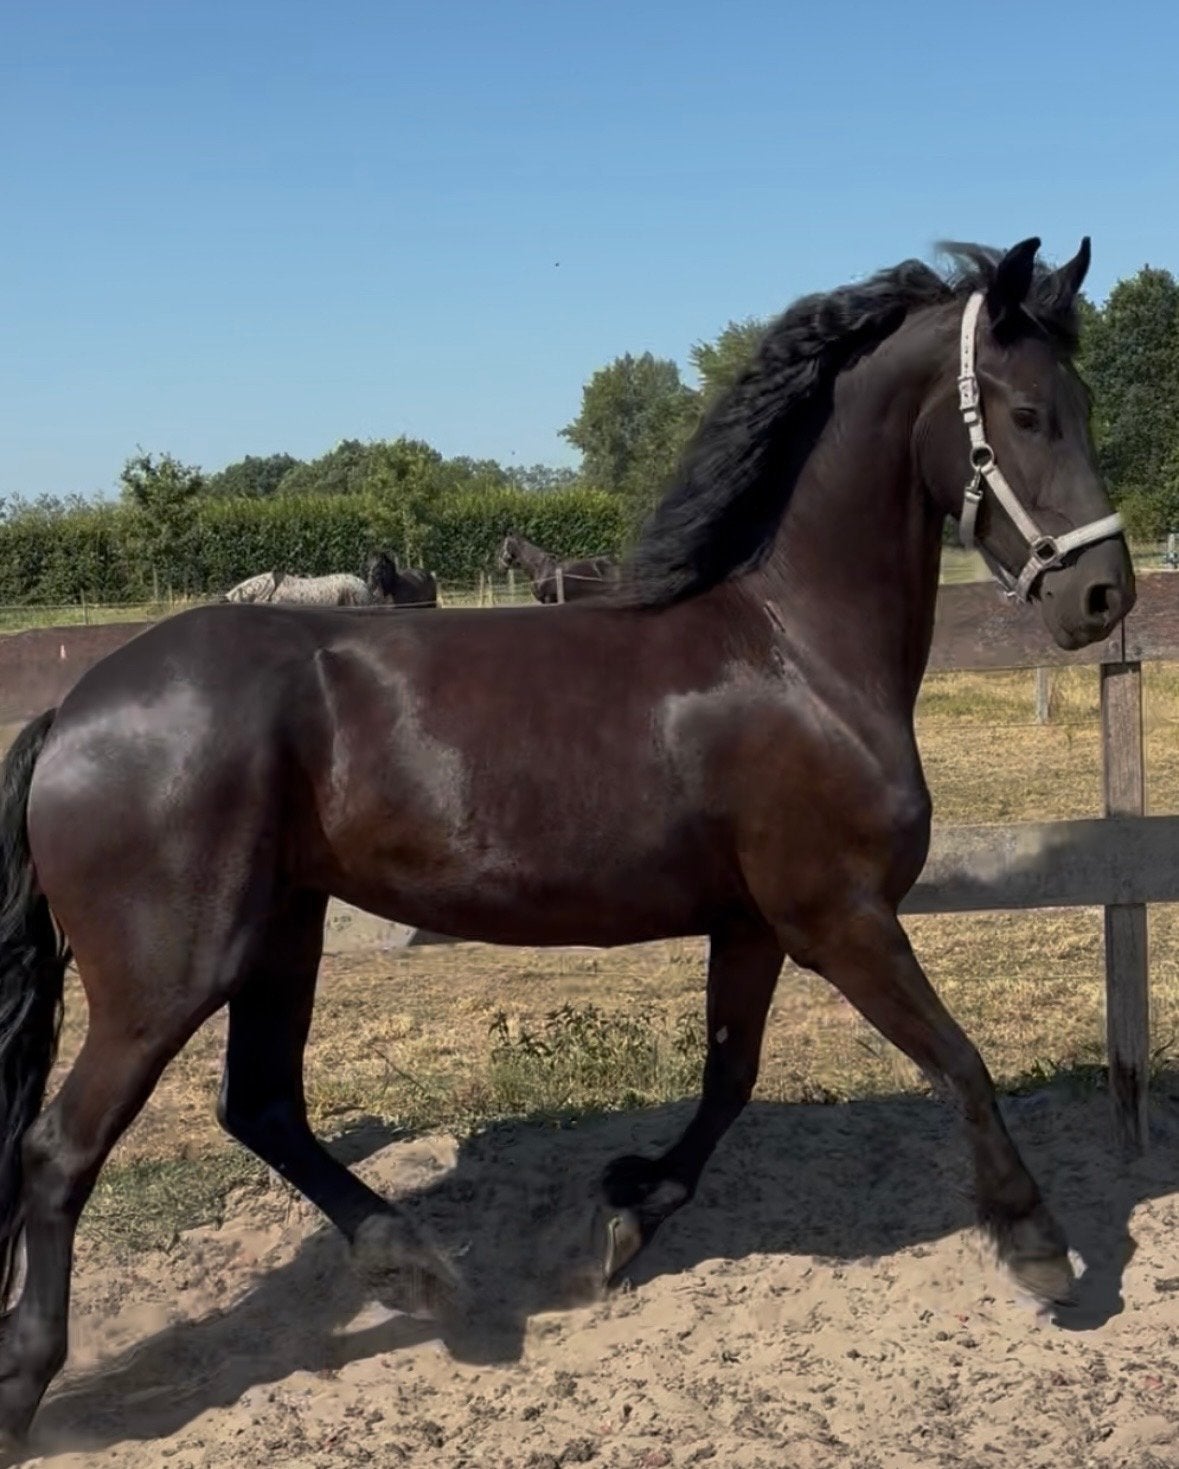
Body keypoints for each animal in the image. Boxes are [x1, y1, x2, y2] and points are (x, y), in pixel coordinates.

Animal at [0, 237, 1134, 1441]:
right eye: (1027, 412)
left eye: (1083, 402)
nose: (1103, 595)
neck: (797, 651)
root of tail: (75, 708)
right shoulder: (838, 916)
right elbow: (960, 1061)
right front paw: (1040, 1247)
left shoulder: (753, 924)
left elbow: (729, 1078)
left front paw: (625, 1217)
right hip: (167, 972)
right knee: (60, 1149)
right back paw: (30, 1380)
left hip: (281, 934)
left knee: (261, 1105)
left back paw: (418, 1267)